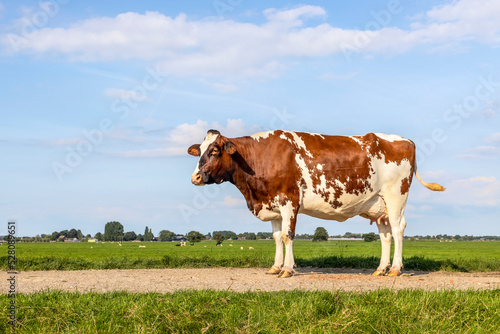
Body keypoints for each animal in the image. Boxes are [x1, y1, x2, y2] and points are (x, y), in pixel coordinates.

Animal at [188, 129, 446, 278]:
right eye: (199, 151)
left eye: (214, 150)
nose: (196, 177)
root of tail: (405, 140)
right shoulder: (273, 204)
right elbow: (276, 237)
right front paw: (275, 267)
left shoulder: (289, 200)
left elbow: (287, 236)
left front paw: (288, 269)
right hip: (378, 204)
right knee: (386, 234)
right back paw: (381, 268)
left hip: (395, 196)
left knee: (398, 228)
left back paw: (395, 269)